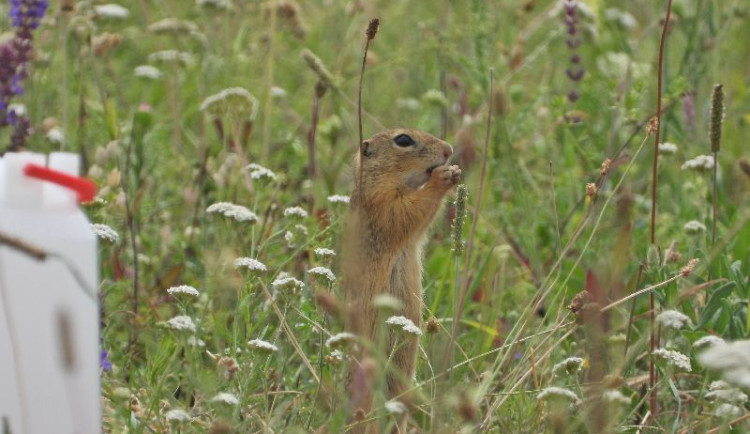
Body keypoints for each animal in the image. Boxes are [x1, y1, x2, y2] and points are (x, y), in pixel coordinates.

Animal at [344, 130, 462, 418]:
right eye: (403, 140)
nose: (448, 149)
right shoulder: (383, 206)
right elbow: (409, 211)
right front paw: (441, 178)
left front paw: (454, 173)